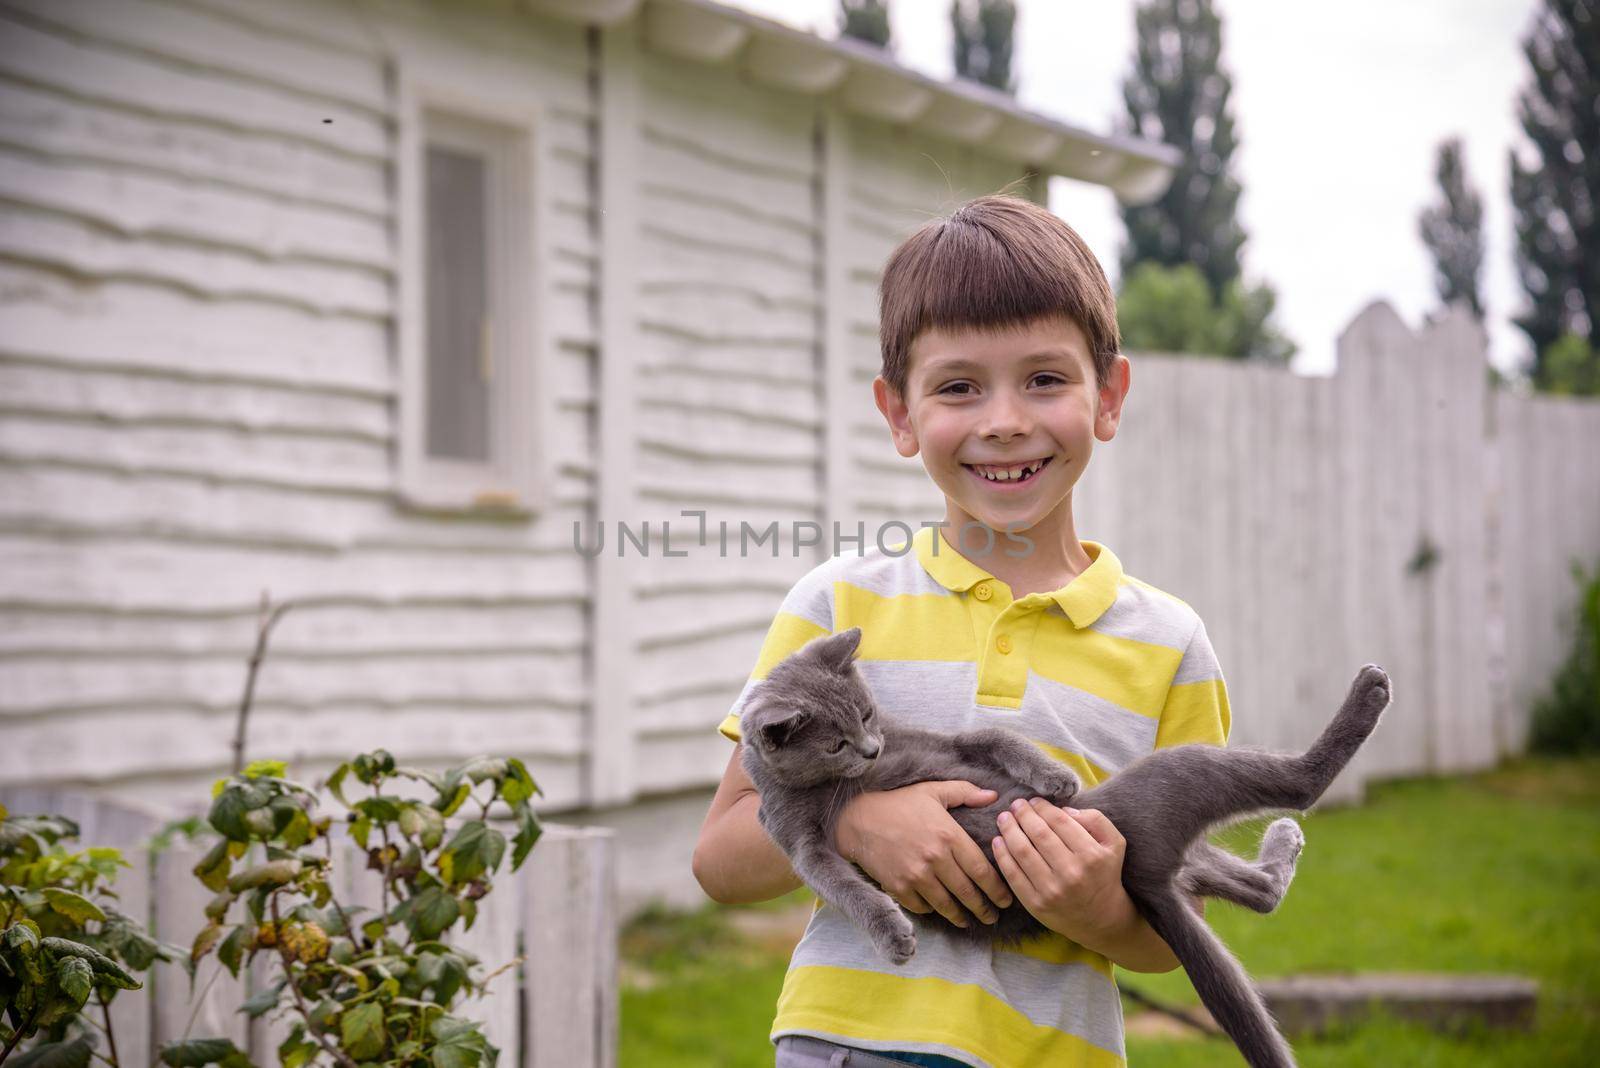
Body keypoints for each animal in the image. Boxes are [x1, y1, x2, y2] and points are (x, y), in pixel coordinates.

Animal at [736, 626, 1388, 1068]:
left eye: (868, 714)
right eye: (836, 743)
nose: (870, 752)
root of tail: (1144, 877)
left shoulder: (939, 739)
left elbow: (991, 735)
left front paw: (1053, 777)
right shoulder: (798, 838)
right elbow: (841, 882)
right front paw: (893, 933)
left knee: (1262, 878)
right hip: (1171, 782)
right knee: (1299, 791)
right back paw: (1366, 698)